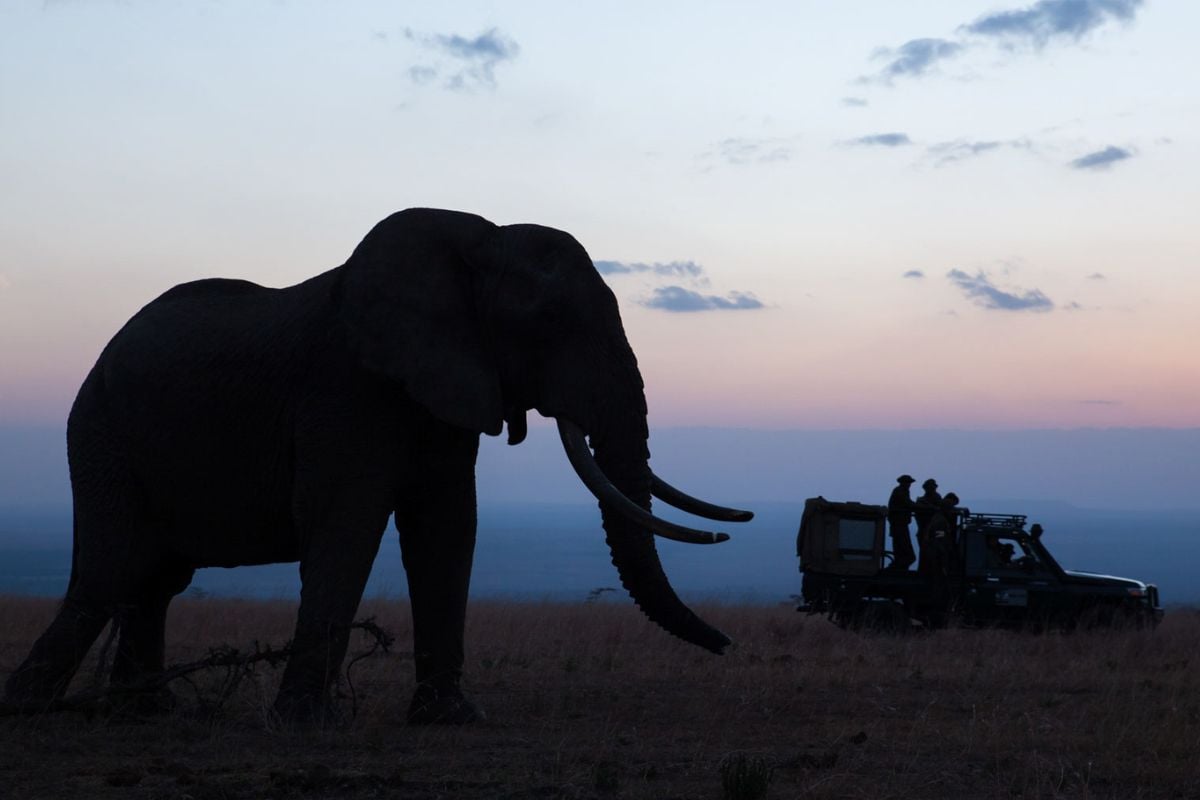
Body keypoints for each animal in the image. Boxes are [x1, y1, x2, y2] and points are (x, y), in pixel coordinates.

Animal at [2, 209, 748, 724]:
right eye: (549, 320)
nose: (729, 646)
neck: (478, 239)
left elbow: (447, 527)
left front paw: (452, 721)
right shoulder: (347, 387)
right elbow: (348, 525)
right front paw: (305, 725)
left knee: (153, 580)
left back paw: (143, 713)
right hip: (101, 434)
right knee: (113, 570)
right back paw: (33, 711)